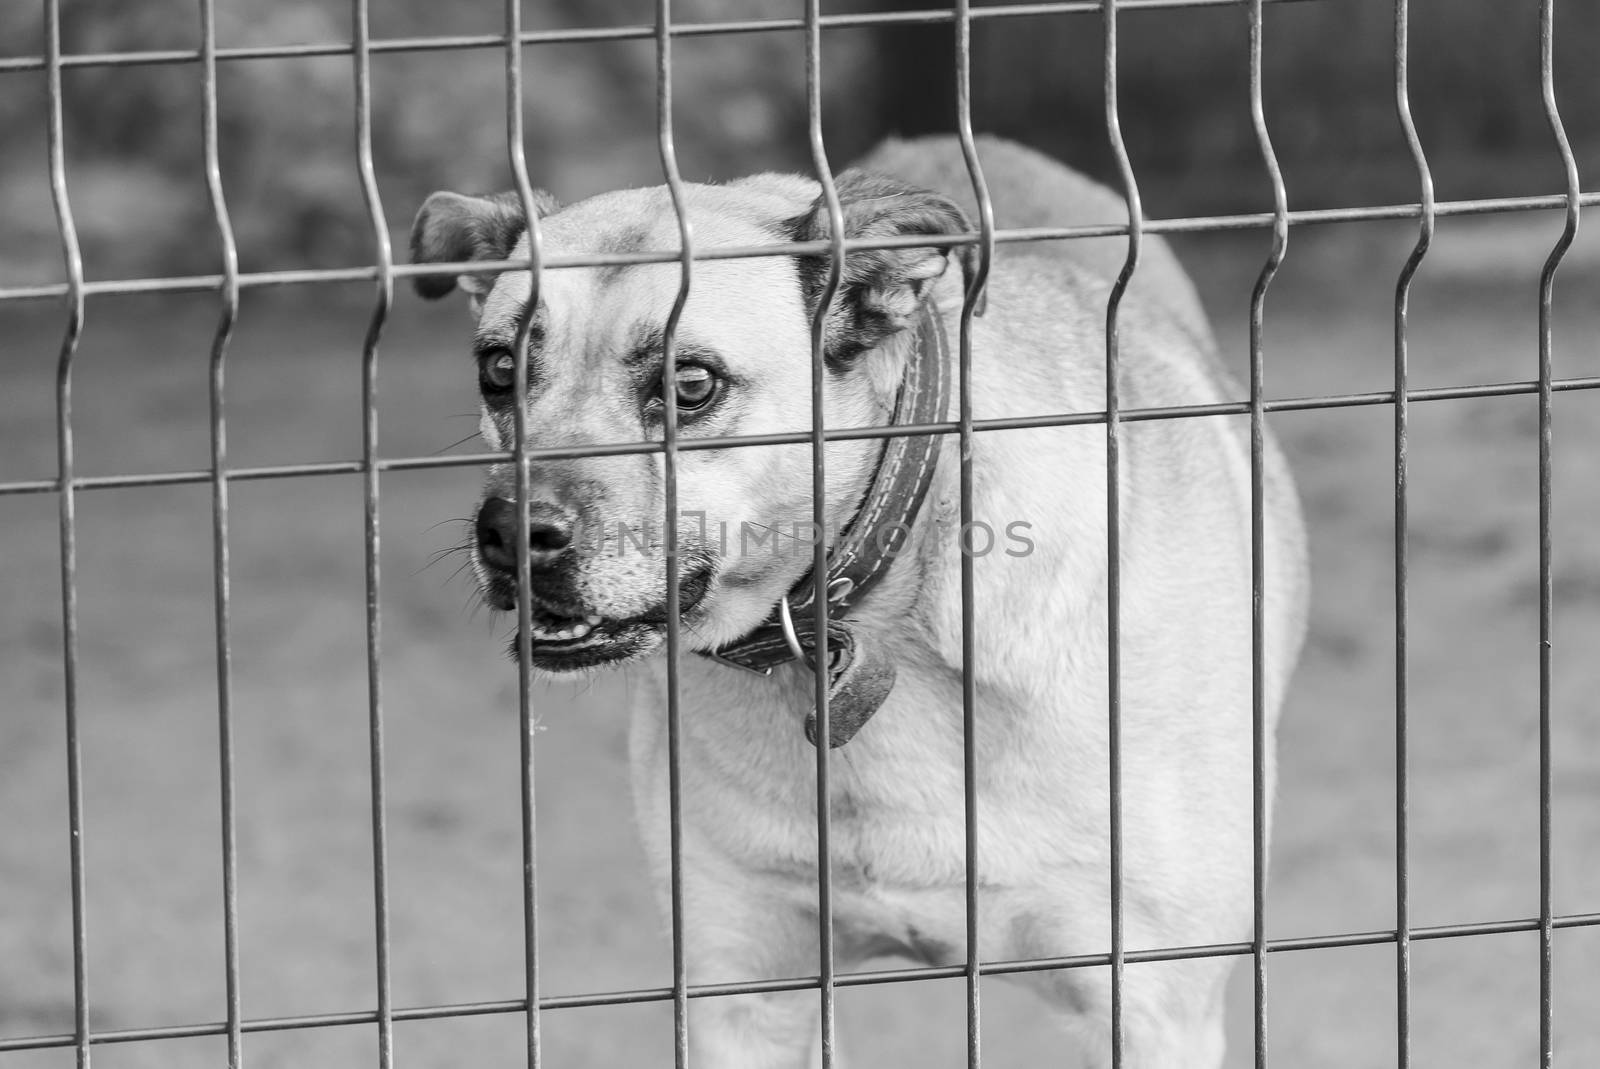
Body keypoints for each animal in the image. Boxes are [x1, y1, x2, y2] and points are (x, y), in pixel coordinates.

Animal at [412, 136, 1312, 1069]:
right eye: (499, 369)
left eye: (690, 384)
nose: (509, 531)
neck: (869, 610)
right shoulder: (745, 992)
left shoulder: (1155, 1006)